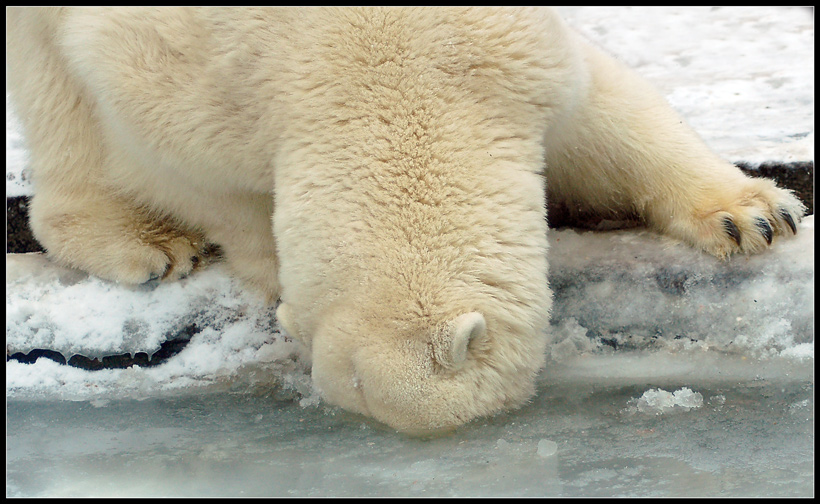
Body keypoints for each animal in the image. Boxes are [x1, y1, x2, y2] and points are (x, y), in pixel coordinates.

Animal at [4, 6, 800, 434]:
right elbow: (198, 177)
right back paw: (146, 244)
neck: (387, 66)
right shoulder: (176, 78)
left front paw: (754, 215)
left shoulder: (503, 61)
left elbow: (608, 118)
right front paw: (268, 272)